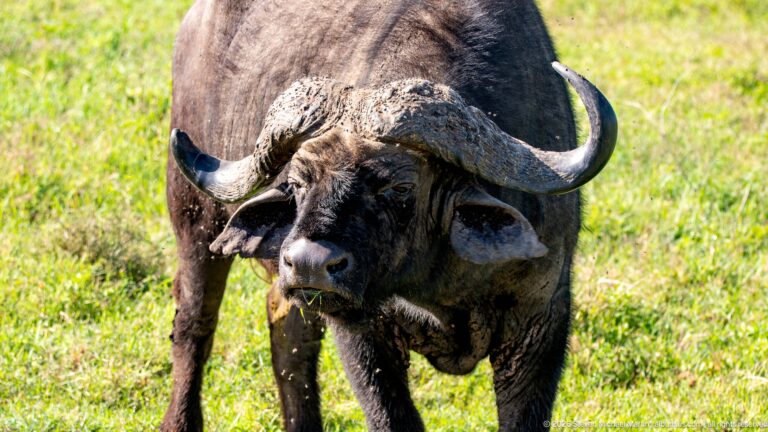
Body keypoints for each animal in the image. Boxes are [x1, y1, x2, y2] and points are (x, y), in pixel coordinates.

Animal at [161, 1, 617, 431]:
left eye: (399, 187)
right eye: (298, 183)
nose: (308, 264)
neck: (436, 289)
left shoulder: (540, 321)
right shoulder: (364, 334)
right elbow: (390, 415)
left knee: (289, 331)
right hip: (195, 218)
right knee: (194, 325)